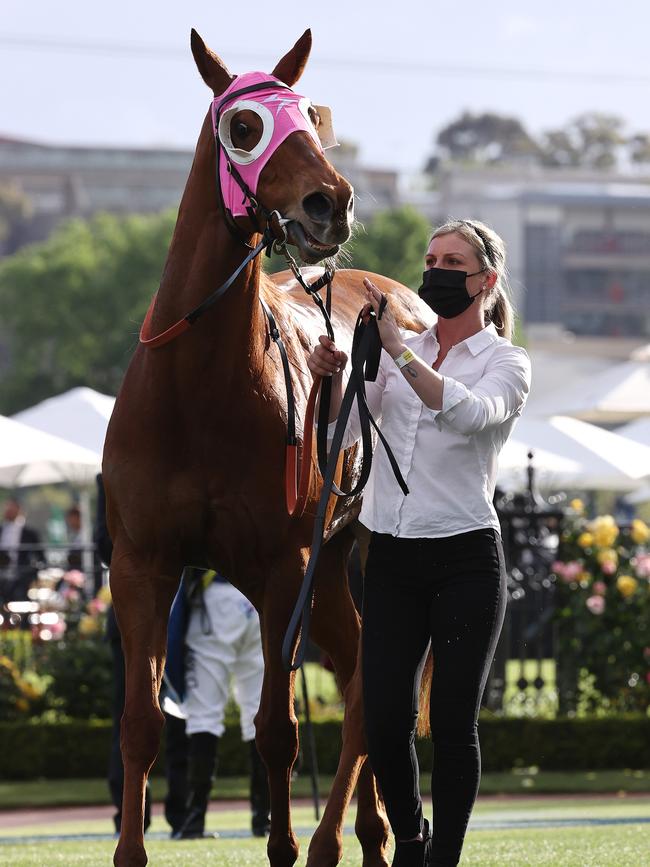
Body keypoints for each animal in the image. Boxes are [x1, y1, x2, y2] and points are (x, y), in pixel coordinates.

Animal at [104, 27, 430, 867]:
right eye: (244, 125)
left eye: (313, 115)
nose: (331, 201)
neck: (198, 386)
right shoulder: (141, 562)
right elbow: (141, 723)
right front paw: (130, 850)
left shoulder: (283, 564)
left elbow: (278, 730)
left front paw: (285, 844)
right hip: (331, 563)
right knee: (356, 669)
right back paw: (373, 832)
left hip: (374, 547)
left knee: (367, 693)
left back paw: (333, 837)